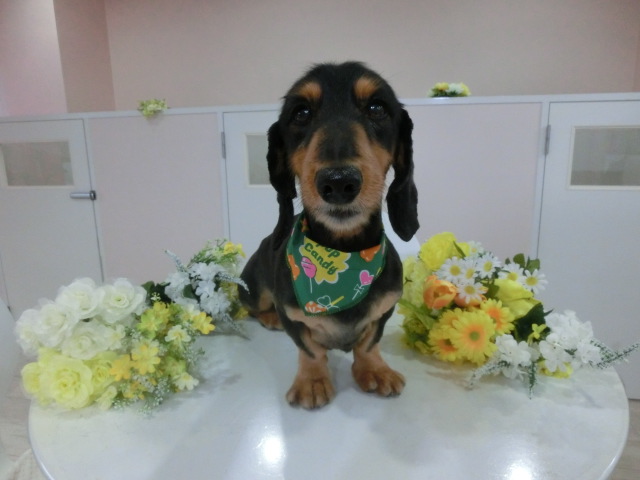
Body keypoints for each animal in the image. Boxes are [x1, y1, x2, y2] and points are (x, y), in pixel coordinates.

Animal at [239, 61, 419, 409]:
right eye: (301, 113)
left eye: (377, 108)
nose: (338, 182)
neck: (344, 252)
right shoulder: (293, 316)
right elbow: (310, 350)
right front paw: (312, 381)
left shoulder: (385, 308)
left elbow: (368, 343)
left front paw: (375, 370)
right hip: (254, 290)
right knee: (254, 306)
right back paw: (269, 318)